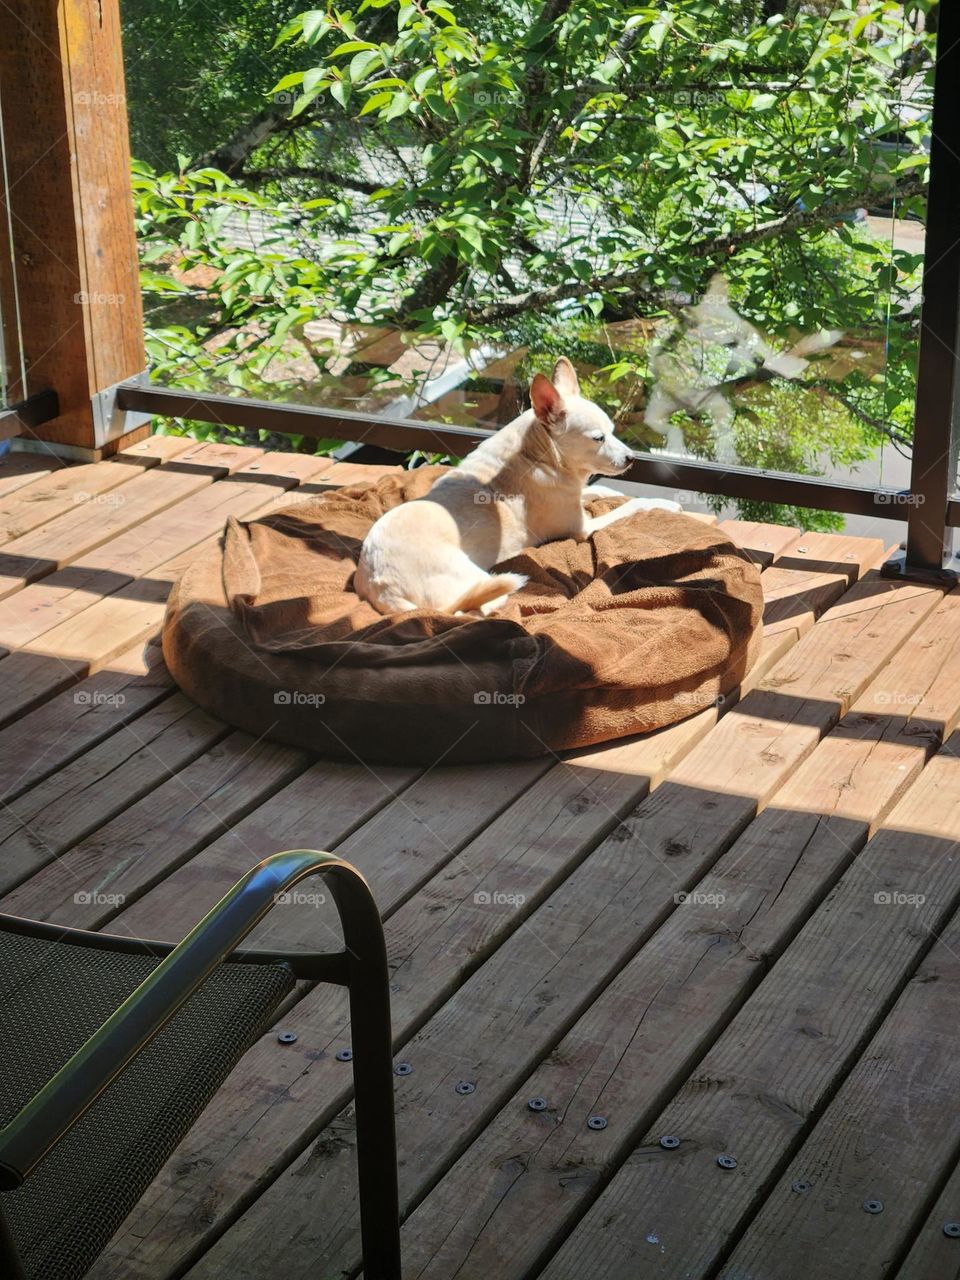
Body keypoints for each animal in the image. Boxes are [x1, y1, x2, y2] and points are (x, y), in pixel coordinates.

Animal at [355, 353, 686, 616]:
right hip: (470, 575)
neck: (538, 456)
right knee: (477, 606)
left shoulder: (574, 494)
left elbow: (599, 490)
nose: (632, 458)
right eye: (598, 438)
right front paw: (663, 503)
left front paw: (612, 492)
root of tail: (381, 587)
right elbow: (631, 506)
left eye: (614, 431)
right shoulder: (582, 529)